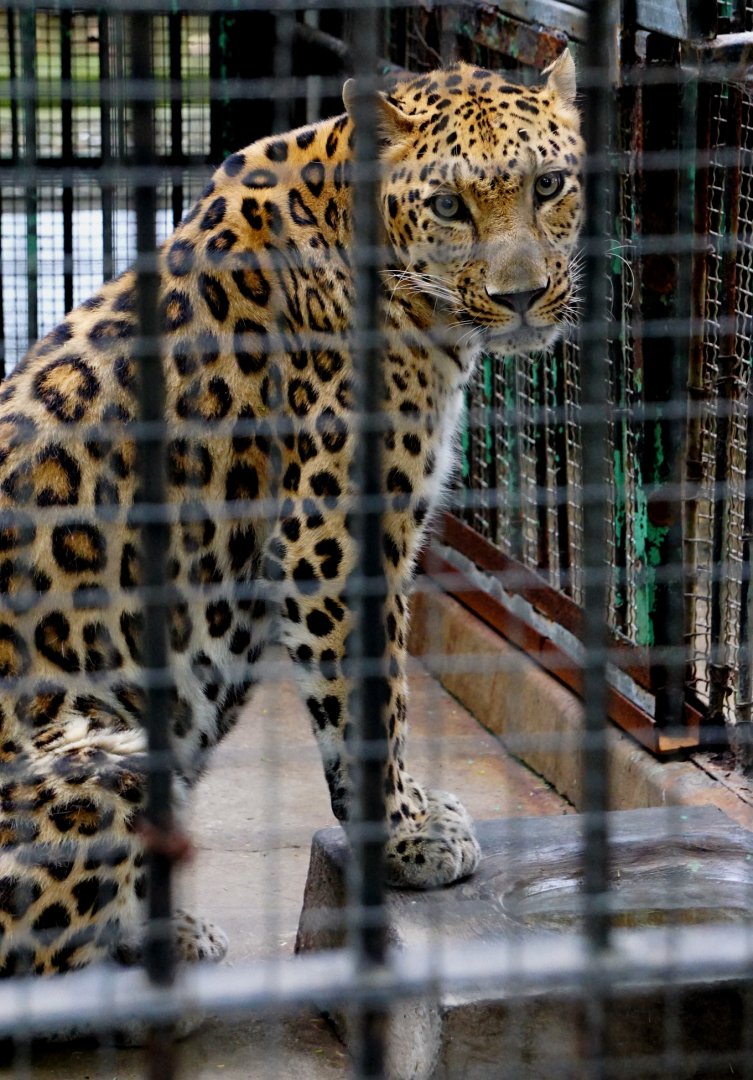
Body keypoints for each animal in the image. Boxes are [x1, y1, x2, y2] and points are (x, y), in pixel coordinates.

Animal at [0, 50, 582, 985]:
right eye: (449, 204)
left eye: (549, 184)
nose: (523, 295)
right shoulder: (334, 540)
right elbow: (372, 706)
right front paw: (408, 840)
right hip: (111, 760)